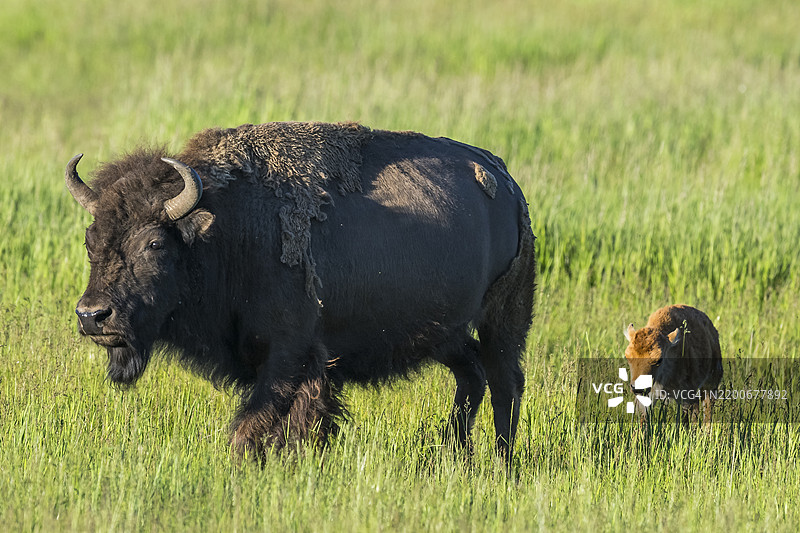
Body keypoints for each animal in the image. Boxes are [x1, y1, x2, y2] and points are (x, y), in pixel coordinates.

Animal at [66, 122, 535, 459]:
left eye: (154, 244)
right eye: (91, 239)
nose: (93, 315)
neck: (227, 230)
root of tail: (507, 184)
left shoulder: (290, 357)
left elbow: (258, 426)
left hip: (502, 317)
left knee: (505, 383)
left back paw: (502, 464)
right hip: (442, 332)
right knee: (471, 373)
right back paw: (455, 452)